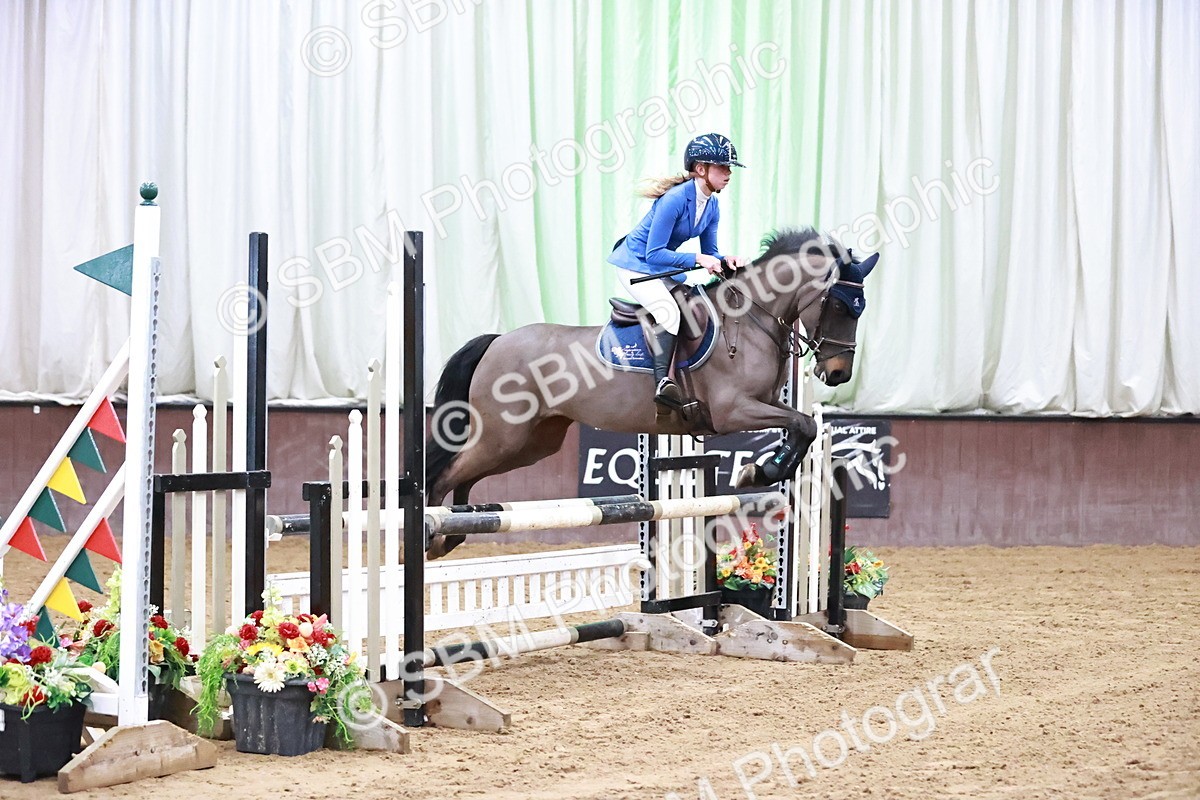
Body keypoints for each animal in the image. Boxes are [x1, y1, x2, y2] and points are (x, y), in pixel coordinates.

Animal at [424, 227, 879, 558]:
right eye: (840, 306)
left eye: (861, 309)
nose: (837, 374)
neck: (750, 319)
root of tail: (498, 341)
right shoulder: (733, 412)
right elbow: (803, 424)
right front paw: (761, 470)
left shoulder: (764, 403)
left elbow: (803, 426)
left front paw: (763, 469)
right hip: (503, 436)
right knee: (447, 472)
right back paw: (432, 532)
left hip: (531, 443)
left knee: (466, 475)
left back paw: (453, 532)